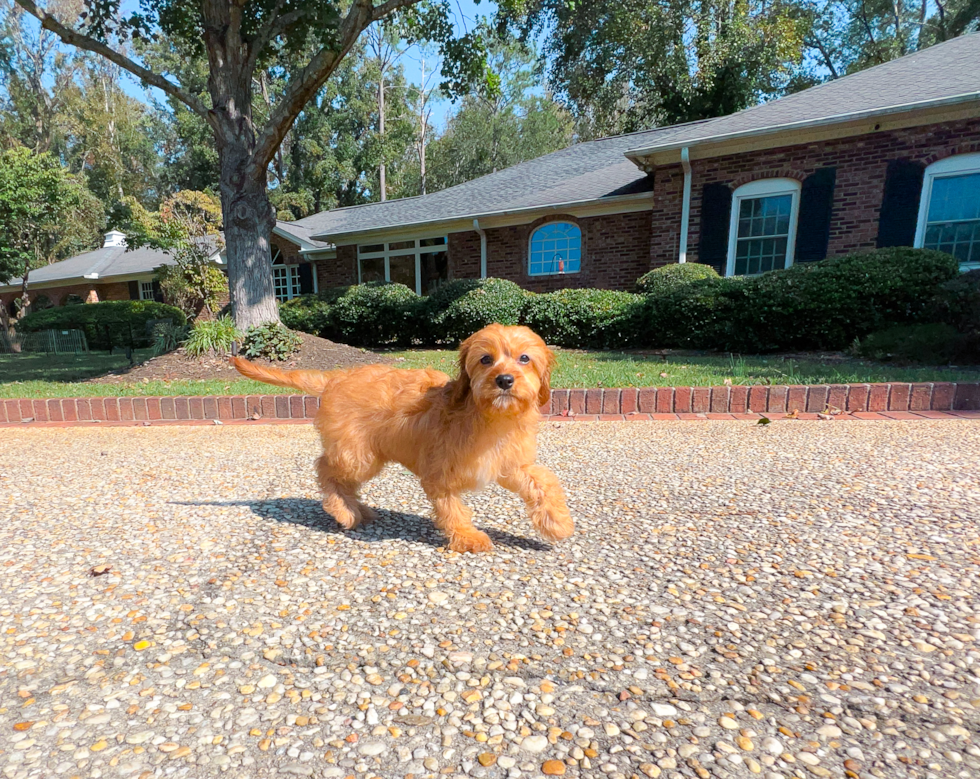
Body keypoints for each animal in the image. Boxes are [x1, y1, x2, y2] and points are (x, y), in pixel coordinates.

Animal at [232, 322, 576, 556]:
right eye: (486, 360)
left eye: (524, 359)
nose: (504, 380)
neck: (488, 417)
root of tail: (336, 377)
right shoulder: (440, 473)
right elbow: (452, 508)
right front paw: (468, 537)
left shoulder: (509, 464)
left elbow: (543, 481)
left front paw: (558, 522)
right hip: (359, 455)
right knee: (325, 468)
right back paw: (343, 511)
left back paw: (357, 508)